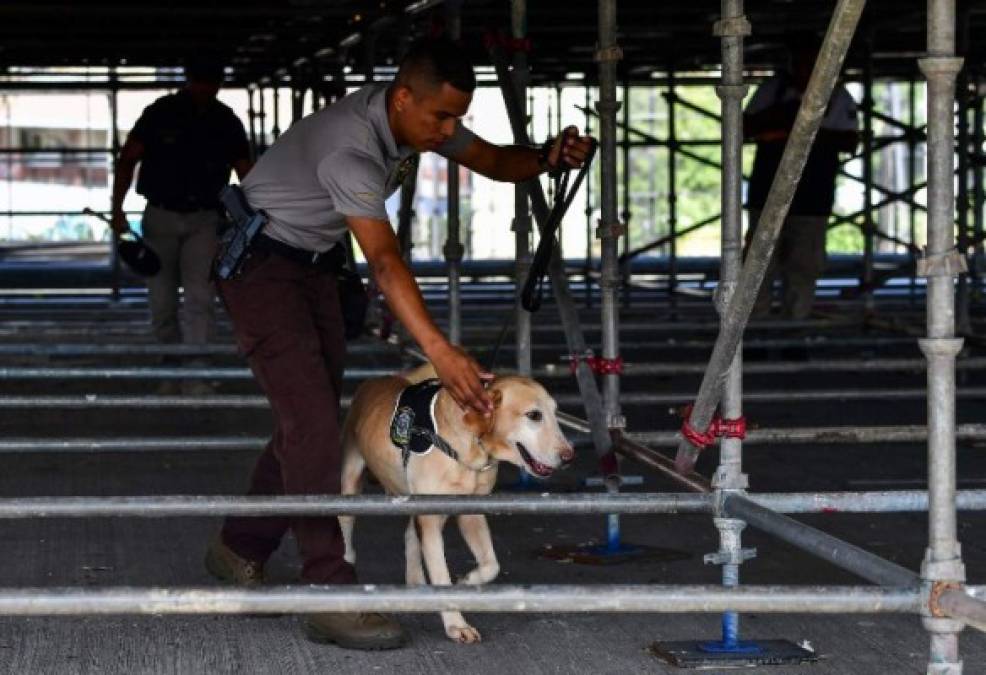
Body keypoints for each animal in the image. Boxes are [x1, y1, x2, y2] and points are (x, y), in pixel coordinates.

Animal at [338, 364, 572, 644]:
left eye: (555, 413)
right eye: (534, 415)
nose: (569, 457)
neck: (471, 447)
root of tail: (374, 380)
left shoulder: (470, 512)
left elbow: (491, 565)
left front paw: (467, 582)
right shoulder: (429, 518)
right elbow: (440, 573)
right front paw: (456, 624)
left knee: (410, 535)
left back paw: (416, 586)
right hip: (351, 480)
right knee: (346, 525)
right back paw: (347, 564)